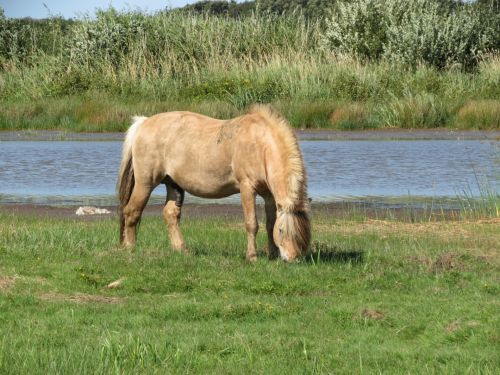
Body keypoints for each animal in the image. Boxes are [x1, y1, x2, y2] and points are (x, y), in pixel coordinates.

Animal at [118, 106, 310, 262]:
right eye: (282, 231)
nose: (293, 258)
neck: (260, 145)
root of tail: (143, 123)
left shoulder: (269, 195)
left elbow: (270, 223)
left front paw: (272, 254)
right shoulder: (247, 188)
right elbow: (252, 224)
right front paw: (252, 256)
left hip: (173, 184)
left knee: (170, 214)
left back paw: (182, 250)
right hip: (145, 183)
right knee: (132, 211)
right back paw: (130, 248)